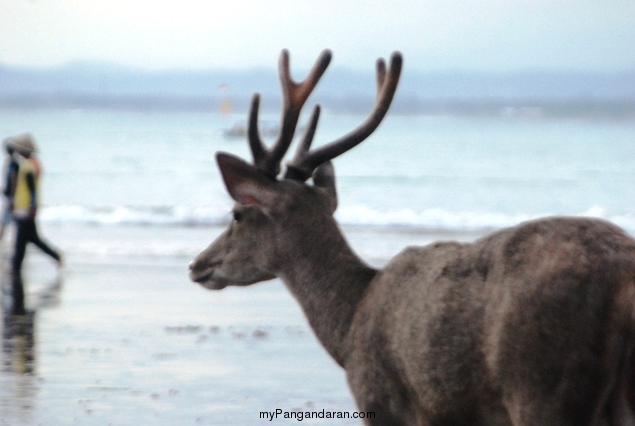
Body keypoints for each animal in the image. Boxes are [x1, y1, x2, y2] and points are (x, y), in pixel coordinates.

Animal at [190, 50, 635, 426]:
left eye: (237, 214)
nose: (197, 264)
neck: (347, 327)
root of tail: (622, 283)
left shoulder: (382, 400)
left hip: (541, 383)